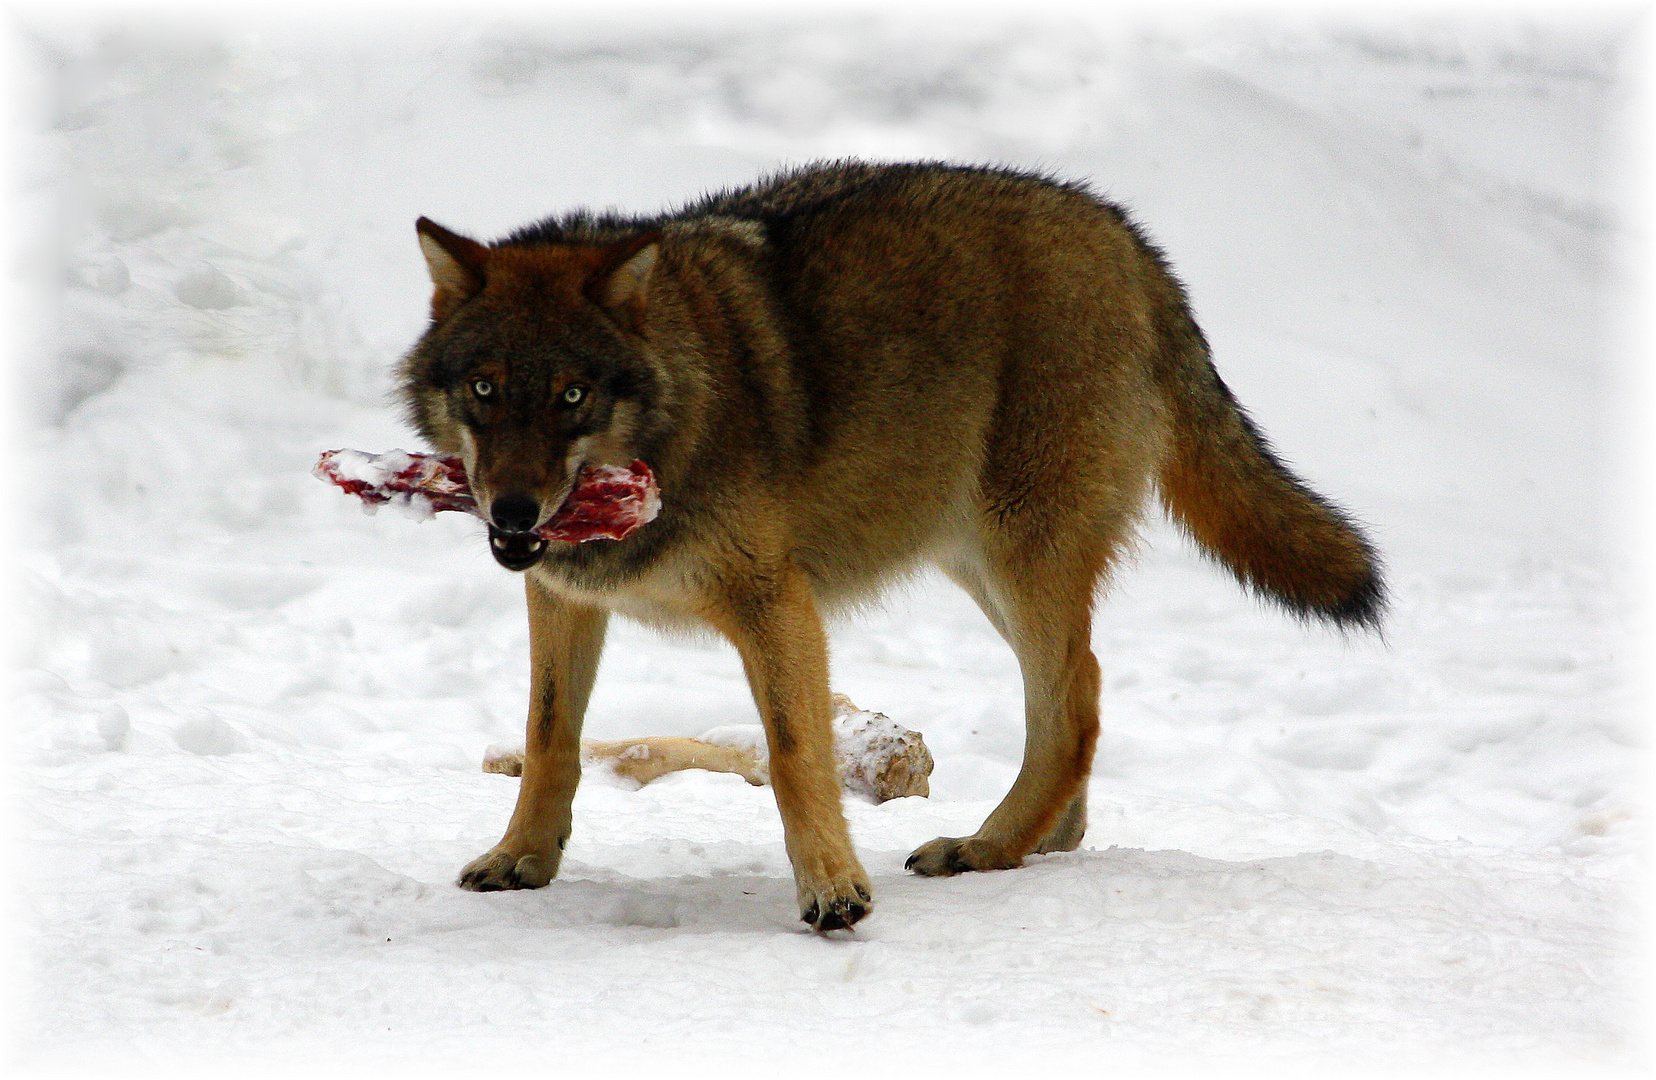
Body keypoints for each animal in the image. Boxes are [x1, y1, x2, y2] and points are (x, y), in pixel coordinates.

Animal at [394, 158, 1377, 927]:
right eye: (484, 388)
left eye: (572, 396)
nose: (514, 513)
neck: (681, 411)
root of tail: (1127, 238)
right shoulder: (562, 597)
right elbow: (549, 737)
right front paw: (521, 858)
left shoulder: (777, 602)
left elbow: (795, 756)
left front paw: (834, 893)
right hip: (979, 564)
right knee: (1087, 687)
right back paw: (1043, 840)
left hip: (1017, 555)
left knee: (1072, 708)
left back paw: (986, 847)